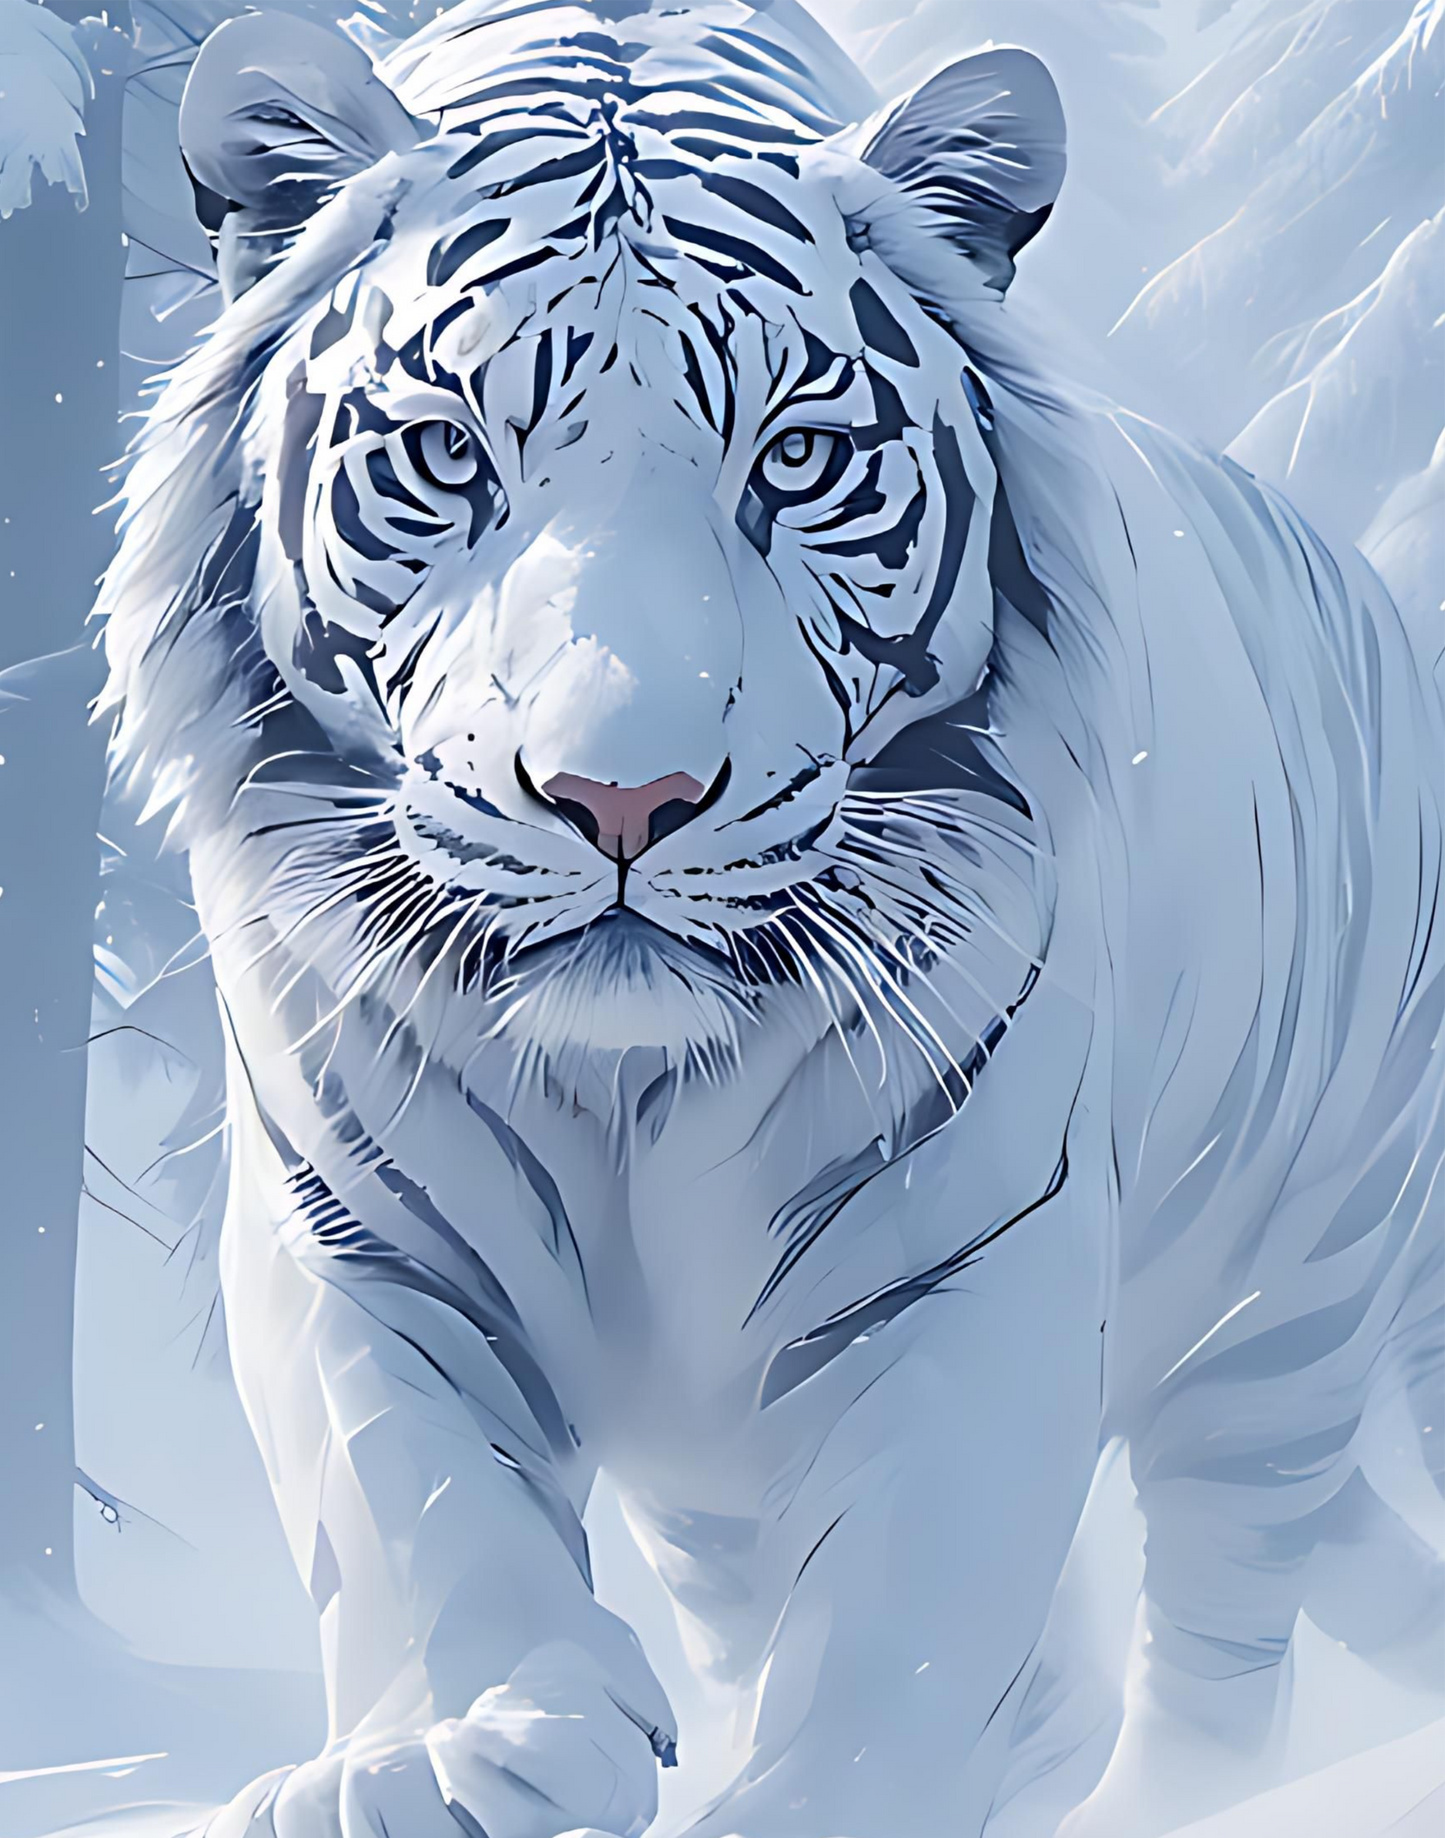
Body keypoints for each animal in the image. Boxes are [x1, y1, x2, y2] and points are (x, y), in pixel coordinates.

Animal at [96, 2, 1445, 1834]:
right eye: (448, 452)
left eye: (796, 461)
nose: (619, 796)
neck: (623, 1092)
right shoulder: (354, 1226)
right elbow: (408, 1505)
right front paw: (468, 1748)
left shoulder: (971, 1252)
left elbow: (912, 1606)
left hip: (1291, 1302)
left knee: (1222, 1637)